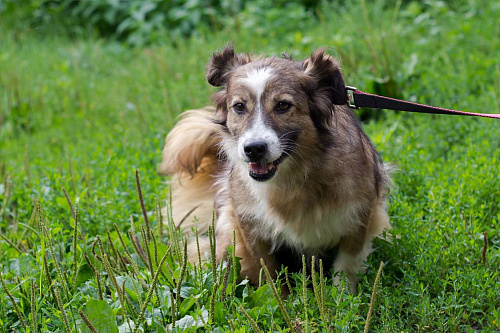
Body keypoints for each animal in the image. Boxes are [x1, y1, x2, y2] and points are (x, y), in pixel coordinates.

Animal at [159, 46, 390, 290]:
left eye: (283, 105)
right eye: (239, 106)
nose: (254, 149)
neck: (293, 176)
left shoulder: (359, 217)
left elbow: (346, 267)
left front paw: (342, 297)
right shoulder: (249, 226)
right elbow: (267, 273)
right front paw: (280, 297)